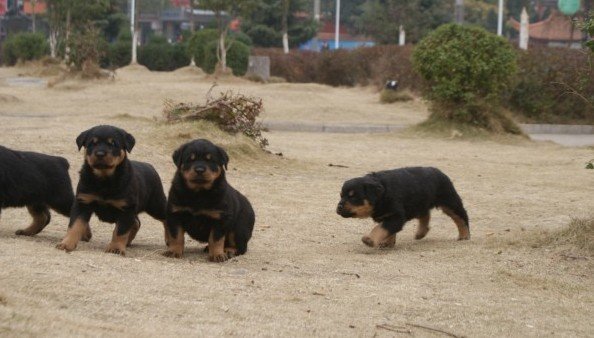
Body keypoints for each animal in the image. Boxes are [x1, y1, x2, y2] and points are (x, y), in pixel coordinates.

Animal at [56, 125, 166, 255]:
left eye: (113, 144)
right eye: (92, 143)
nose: (100, 153)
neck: (104, 179)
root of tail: (150, 166)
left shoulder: (126, 208)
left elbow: (120, 231)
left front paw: (116, 248)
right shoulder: (83, 202)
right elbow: (75, 225)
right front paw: (66, 243)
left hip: (156, 205)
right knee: (136, 222)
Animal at [338, 167, 468, 248]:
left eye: (353, 197)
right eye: (341, 196)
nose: (339, 206)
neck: (383, 194)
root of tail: (439, 171)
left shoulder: (396, 216)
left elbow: (381, 228)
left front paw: (370, 239)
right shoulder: (388, 216)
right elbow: (388, 230)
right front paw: (387, 243)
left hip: (449, 201)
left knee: (462, 217)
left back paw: (464, 235)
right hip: (419, 202)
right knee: (425, 214)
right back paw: (421, 232)